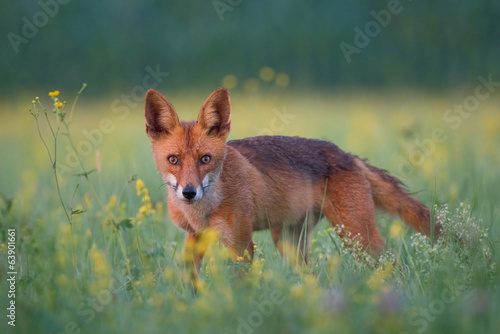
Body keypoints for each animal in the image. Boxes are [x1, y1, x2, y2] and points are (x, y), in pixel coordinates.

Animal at [144, 88, 438, 268]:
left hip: (357, 235)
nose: (189, 192)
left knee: (391, 261)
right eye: (173, 160)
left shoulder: (241, 244)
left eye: (205, 159)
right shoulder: (193, 238)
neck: (201, 212)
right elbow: (190, 283)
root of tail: (346, 154)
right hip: (288, 242)